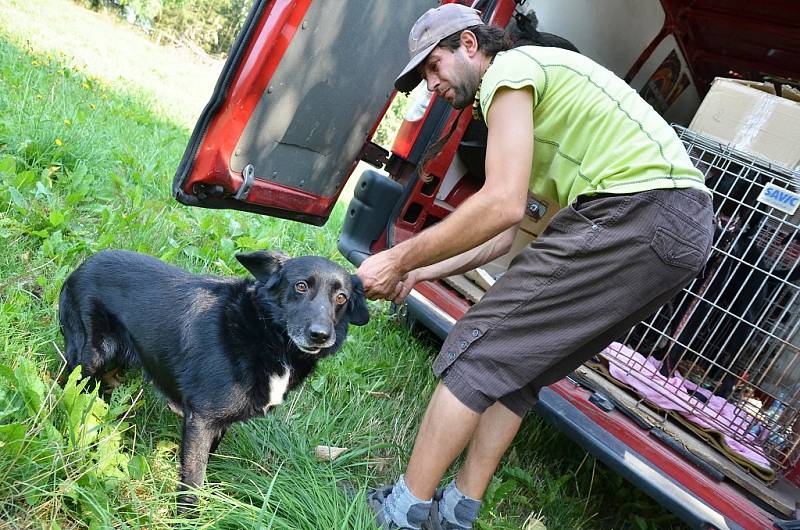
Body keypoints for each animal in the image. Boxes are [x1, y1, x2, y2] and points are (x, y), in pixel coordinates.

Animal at [58, 250, 368, 506]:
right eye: (301, 286)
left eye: (341, 297)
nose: (320, 335)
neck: (267, 335)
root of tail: (83, 265)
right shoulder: (202, 418)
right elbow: (193, 479)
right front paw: (186, 518)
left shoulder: (218, 422)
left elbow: (206, 459)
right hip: (90, 357)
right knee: (68, 387)